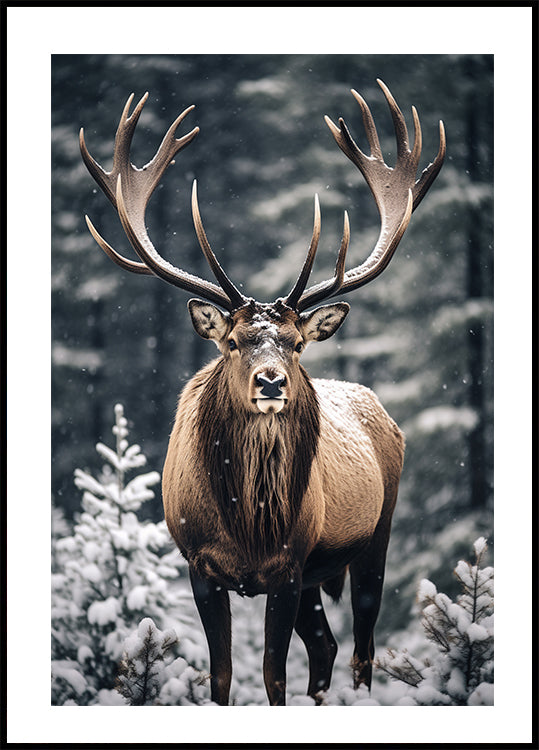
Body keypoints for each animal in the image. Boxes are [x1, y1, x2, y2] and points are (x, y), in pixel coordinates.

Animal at [80, 79, 445, 706]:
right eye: (232, 341)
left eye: (296, 344)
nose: (271, 380)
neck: (245, 528)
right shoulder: (200, 566)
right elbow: (222, 676)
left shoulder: (289, 565)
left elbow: (274, 676)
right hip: (320, 575)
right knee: (325, 645)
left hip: (376, 534)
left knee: (361, 647)